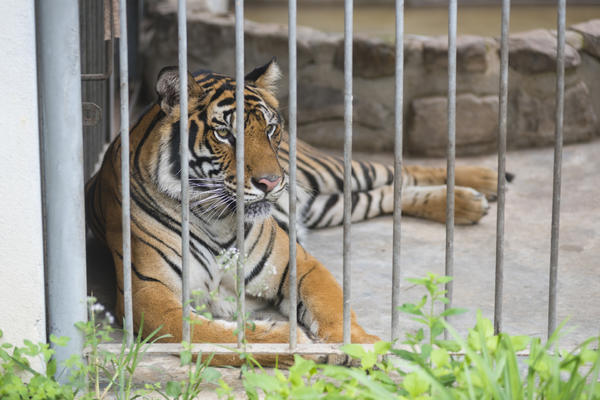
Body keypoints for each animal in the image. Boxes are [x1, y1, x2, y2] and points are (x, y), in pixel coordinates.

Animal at [86, 59, 504, 366]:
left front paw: (361, 346)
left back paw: (485, 182)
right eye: (225, 134)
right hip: (327, 204)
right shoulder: (149, 295)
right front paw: (291, 343)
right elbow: (213, 334)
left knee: (397, 170)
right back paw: (470, 201)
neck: (215, 218)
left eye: (270, 129)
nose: (272, 182)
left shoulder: (298, 262)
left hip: (330, 172)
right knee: (385, 191)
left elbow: (333, 306)